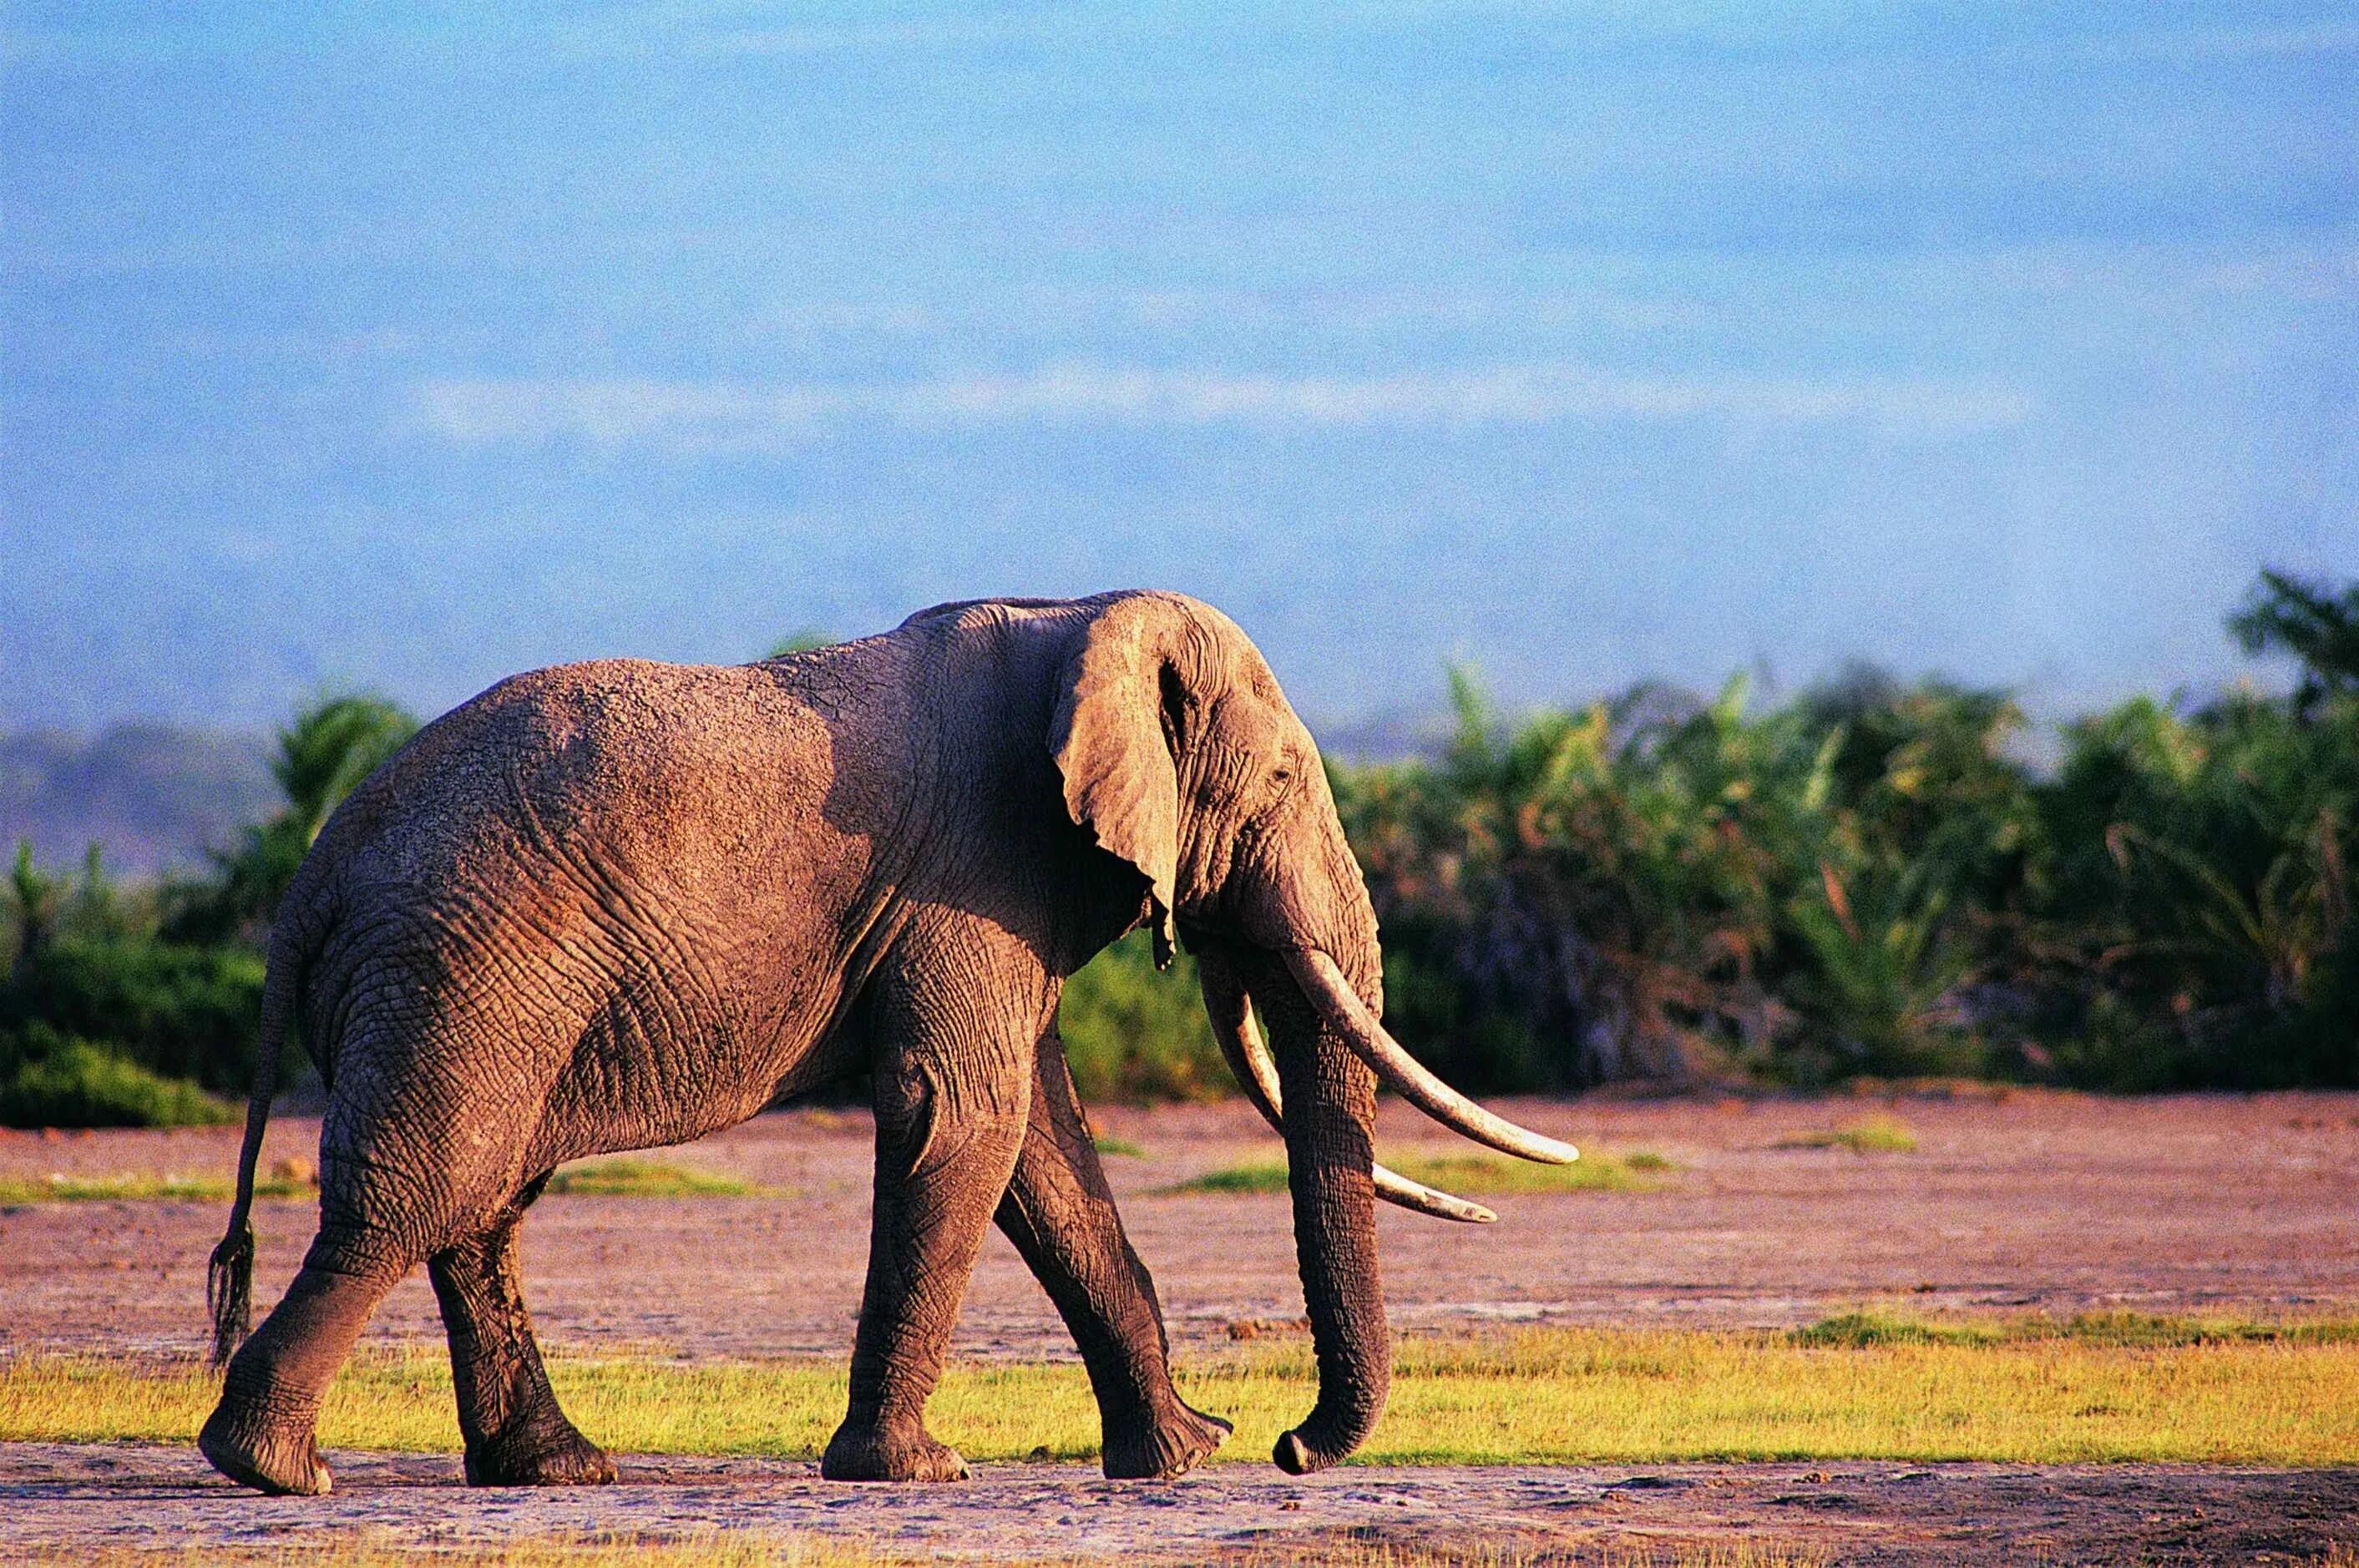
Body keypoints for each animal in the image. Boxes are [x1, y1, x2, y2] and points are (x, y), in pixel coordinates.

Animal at [198, 587, 1566, 1490]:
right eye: (1280, 784)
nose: (1288, 1446)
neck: (1080, 613)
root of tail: (310, 879)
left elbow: (1040, 1142)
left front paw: (1177, 1458)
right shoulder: (973, 869)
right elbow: (969, 1117)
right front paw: (915, 1471)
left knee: (481, 1204)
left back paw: (555, 1471)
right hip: (460, 975)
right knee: (419, 1193)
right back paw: (274, 1470)